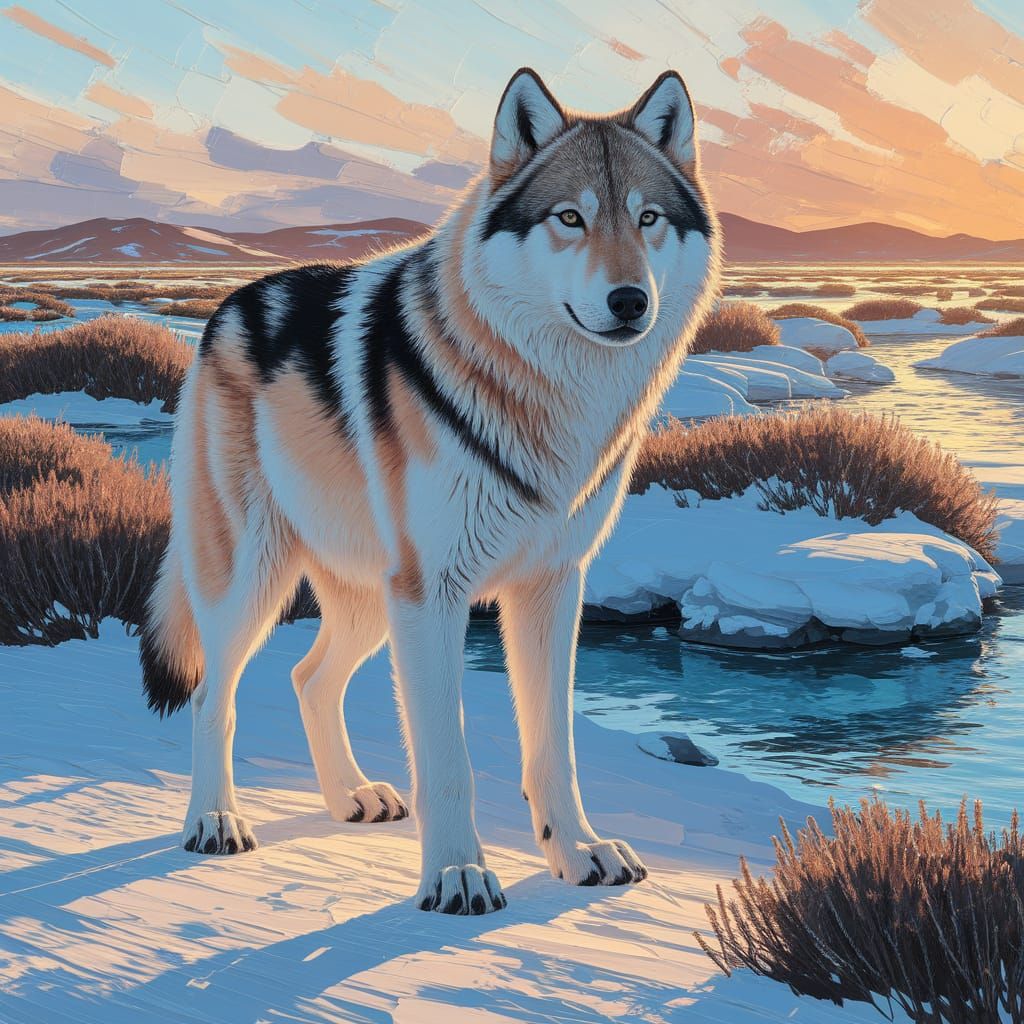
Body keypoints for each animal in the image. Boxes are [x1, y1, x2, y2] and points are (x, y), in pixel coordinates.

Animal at [140, 66, 719, 914]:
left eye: (647, 219)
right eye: (570, 218)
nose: (629, 301)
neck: (548, 400)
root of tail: (227, 305)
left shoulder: (551, 587)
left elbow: (553, 747)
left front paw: (577, 853)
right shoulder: (434, 592)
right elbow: (448, 762)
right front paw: (456, 876)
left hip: (370, 602)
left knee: (308, 677)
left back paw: (350, 796)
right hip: (258, 581)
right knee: (216, 694)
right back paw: (215, 821)